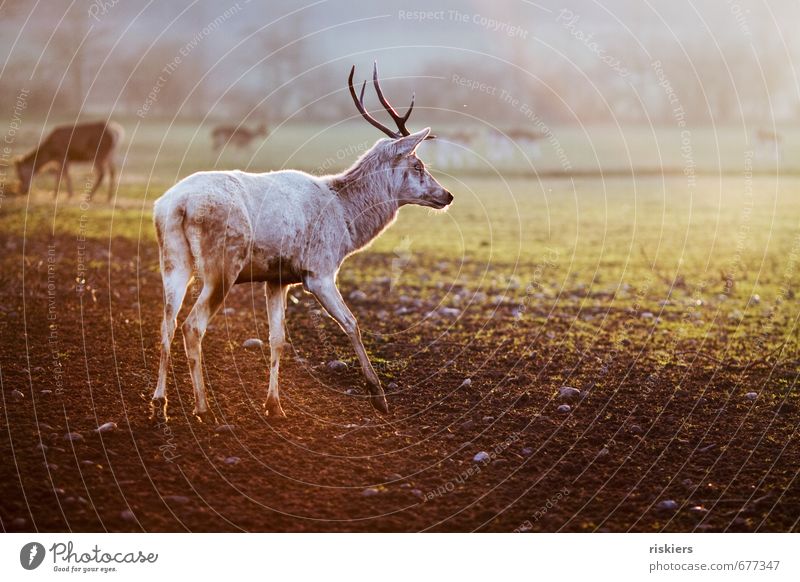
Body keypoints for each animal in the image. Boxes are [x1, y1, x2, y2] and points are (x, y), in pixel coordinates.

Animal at [150, 64, 450, 422]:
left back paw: (159, 403)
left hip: (173, 261)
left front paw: (274, 405)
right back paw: (202, 407)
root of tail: (176, 205)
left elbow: (277, 338)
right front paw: (378, 396)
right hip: (222, 264)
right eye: (418, 166)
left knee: (166, 323)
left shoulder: (277, 278)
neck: (345, 219)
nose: (447, 195)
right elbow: (351, 323)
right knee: (192, 326)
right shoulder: (318, 271)